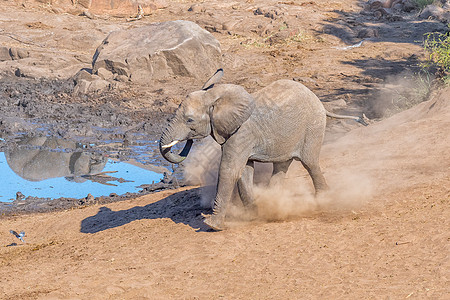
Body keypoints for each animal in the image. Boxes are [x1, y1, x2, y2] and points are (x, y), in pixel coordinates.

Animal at [159, 69, 366, 230]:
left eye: (190, 120)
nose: (186, 142)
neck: (215, 96)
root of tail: (318, 100)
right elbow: (244, 171)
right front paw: (254, 214)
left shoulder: (241, 133)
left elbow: (229, 170)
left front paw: (212, 225)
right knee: (281, 165)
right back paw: (274, 202)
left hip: (313, 126)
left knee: (310, 163)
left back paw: (322, 200)